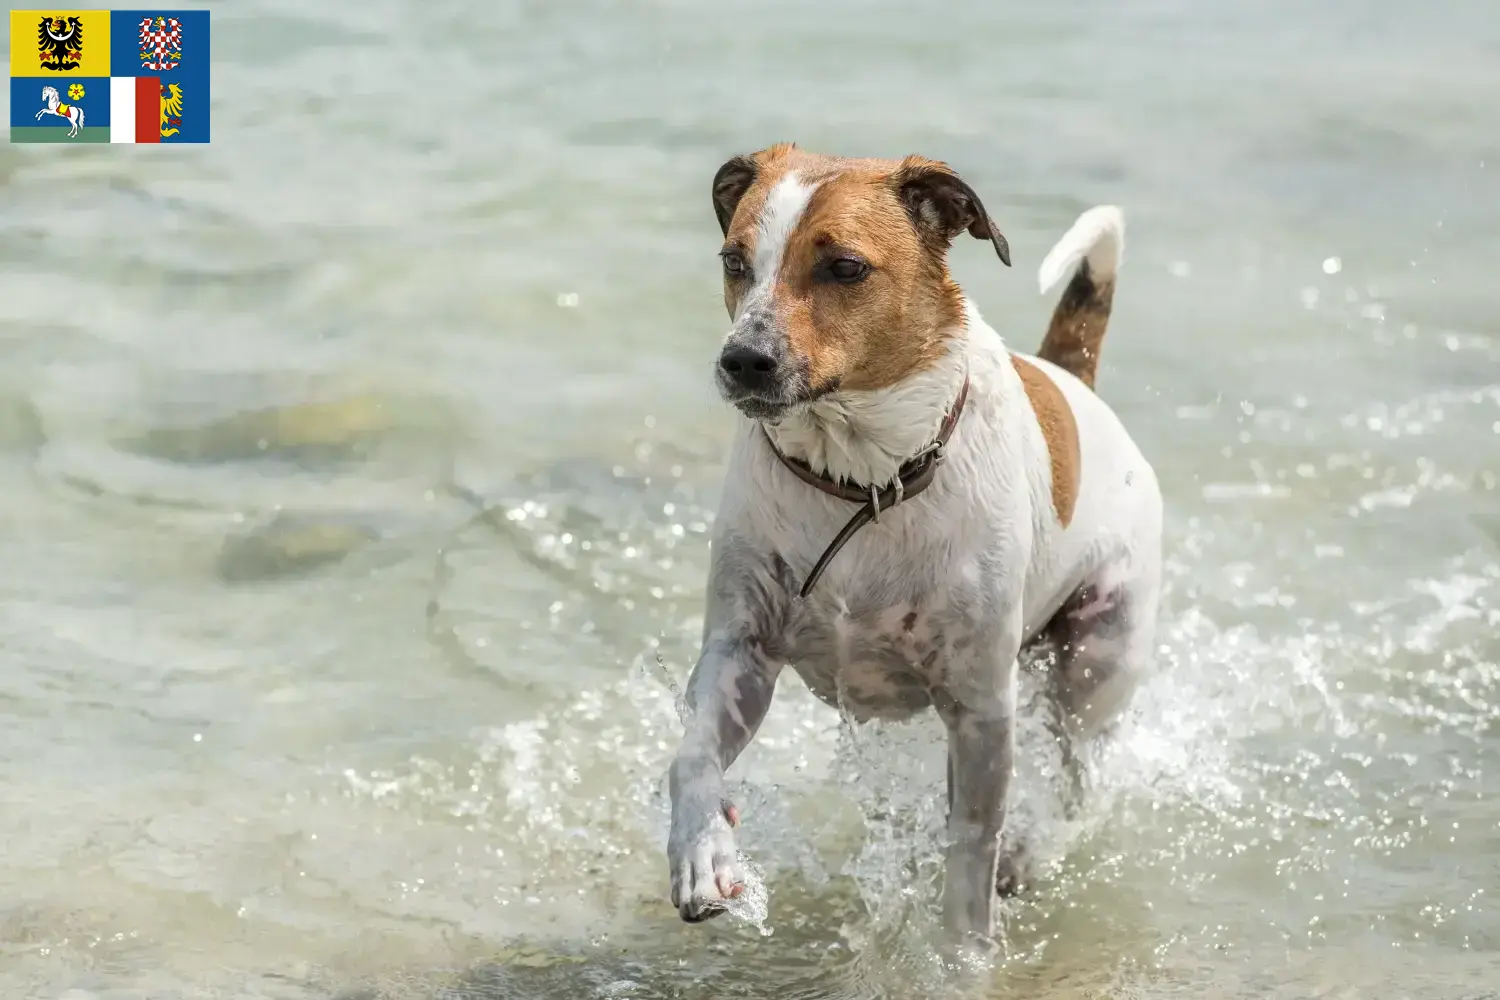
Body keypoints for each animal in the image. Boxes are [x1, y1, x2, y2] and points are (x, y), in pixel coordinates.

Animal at [663, 142, 1164, 947]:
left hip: (1098, 656)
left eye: (844, 267)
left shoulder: (981, 707)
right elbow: (693, 758)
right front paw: (702, 855)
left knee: (1076, 777)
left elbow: (971, 848)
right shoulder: (740, 651)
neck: (861, 481)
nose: (742, 359)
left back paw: (1031, 852)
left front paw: (966, 956)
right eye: (735, 261)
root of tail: (1071, 379)